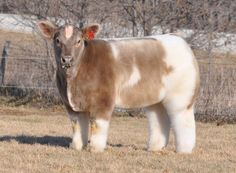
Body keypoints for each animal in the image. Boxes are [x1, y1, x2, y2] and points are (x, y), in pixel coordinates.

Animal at [37, 20, 200, 153]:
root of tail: (180, 40)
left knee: (183, 122)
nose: (67, 59)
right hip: (156, 99)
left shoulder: (103, 100)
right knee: (159, 119)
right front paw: (76, 147)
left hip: (181, 97)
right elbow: (77, 127)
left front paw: (95, 149)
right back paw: (154, 148)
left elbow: (98, 126)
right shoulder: (71, 105)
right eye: (57, 40)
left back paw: (184, 150)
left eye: (78, 41)